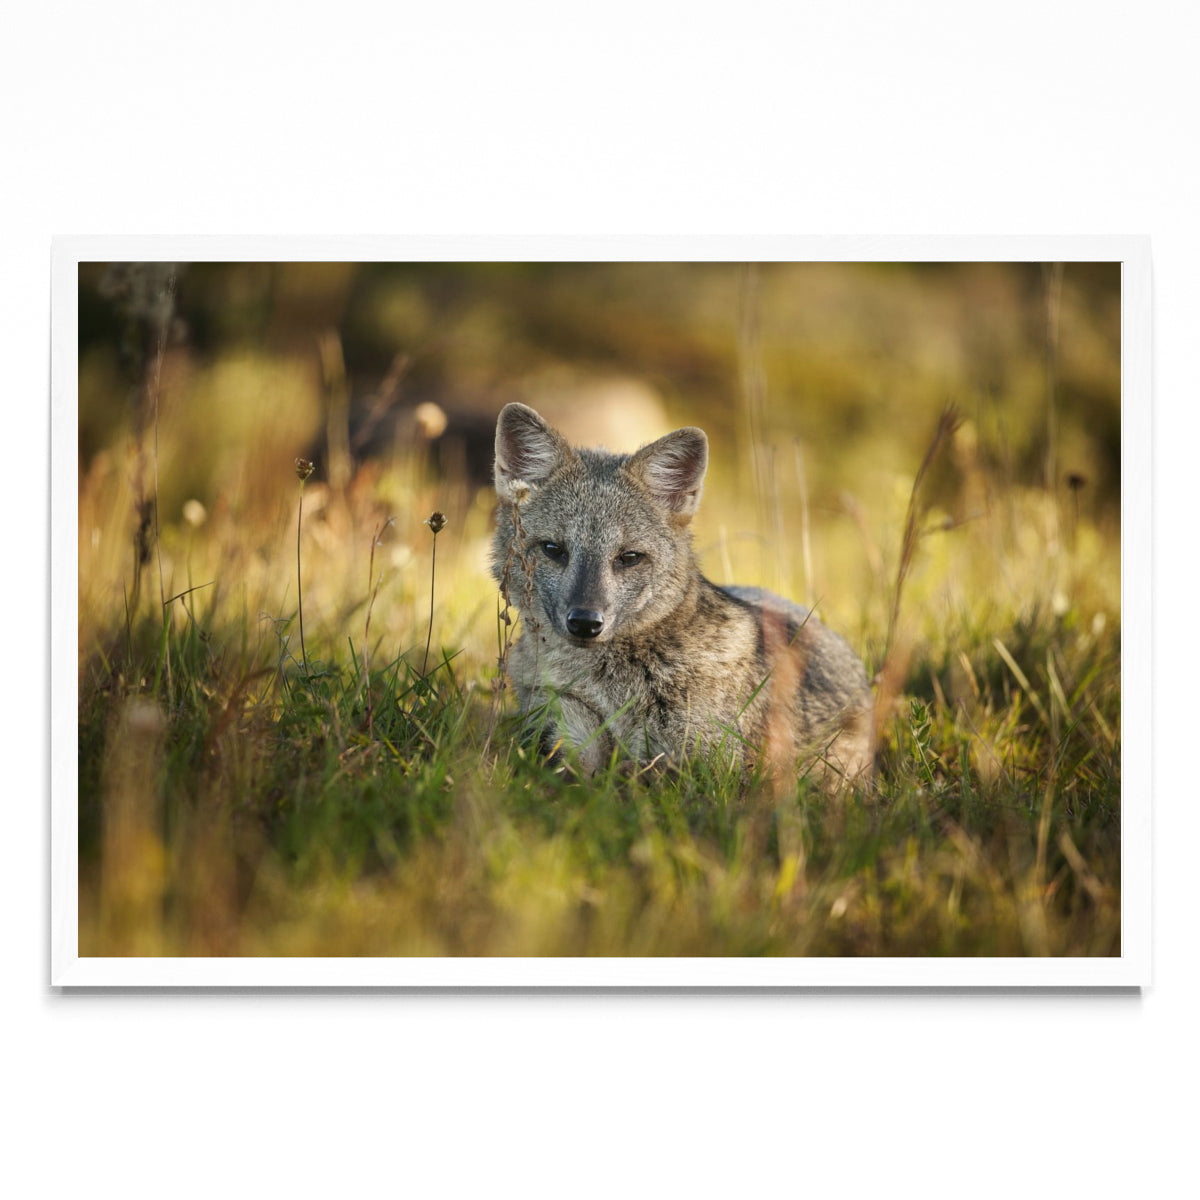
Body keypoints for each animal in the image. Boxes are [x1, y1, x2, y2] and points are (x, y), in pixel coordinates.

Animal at [491, 402, 875, 786]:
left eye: (629, 557)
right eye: (553, 549)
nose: (585, 622)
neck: (612, 690)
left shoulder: (715, 765)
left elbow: (639, 771)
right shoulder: (563, 733)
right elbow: (583, 772)